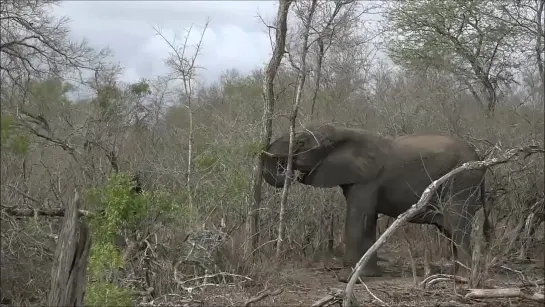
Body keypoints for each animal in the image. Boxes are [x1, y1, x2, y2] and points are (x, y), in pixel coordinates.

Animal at [262, 124, 490, 282]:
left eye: (300, 143)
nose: (290, 173)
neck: (341, 131)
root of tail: (482, 159)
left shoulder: (368, 180)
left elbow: (358, 217)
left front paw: (346, 279)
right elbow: (368, 220)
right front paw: (369, 275)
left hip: (461, 182)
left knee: (457, 225)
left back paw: (462, 279)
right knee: (451, 229)